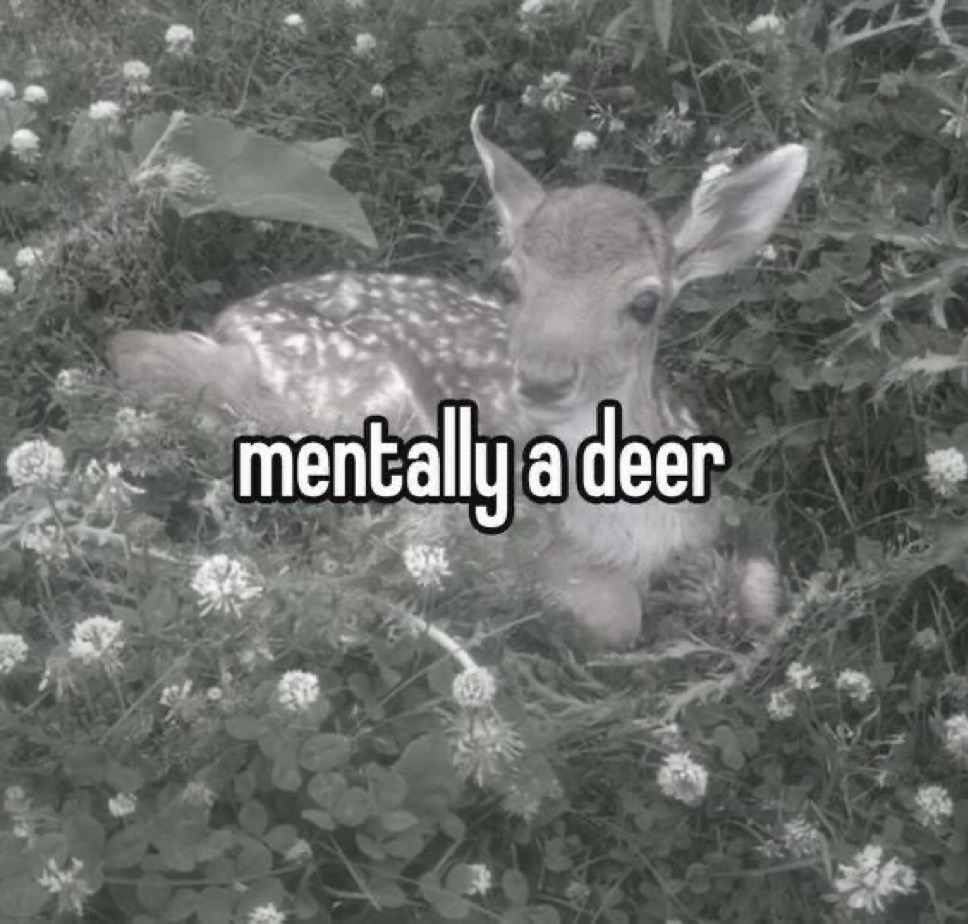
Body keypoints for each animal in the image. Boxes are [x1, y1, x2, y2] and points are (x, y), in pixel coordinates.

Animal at [107, 107, 809, 651]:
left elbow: (760, 587)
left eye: (645, 302)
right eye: (510, 282)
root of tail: (239, 313)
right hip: (359, 390)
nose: (543, 379)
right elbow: (612, 614)